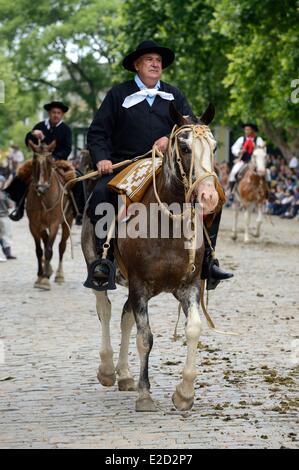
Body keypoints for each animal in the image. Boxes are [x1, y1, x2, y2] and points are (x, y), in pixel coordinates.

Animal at [82, 103, 225, 412]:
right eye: (184, 146)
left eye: (215, 146)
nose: (209, 197)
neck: (166, 225)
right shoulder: (139, 285)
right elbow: (145, 337)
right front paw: (145, 395)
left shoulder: (188, 286)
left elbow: (193, 329)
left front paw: (184, 393)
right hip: (99, 270)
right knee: (105, 309)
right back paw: (108, 369)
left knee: (124, 316)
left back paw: (125, 375)